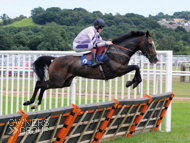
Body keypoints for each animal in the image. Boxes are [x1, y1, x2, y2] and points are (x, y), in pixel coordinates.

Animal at [23, 30, 157, 108]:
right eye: (150, 44)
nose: (155, 59)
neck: (118, 51)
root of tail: (54, 59)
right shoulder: (117, 70)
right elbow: (136, 66)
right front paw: (132, 82)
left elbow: (137, 68)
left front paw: (133, 82)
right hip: (57, 80)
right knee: (39, 83)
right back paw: (29, 102)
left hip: (63, 82)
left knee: (43, 86)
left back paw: (36, 103)